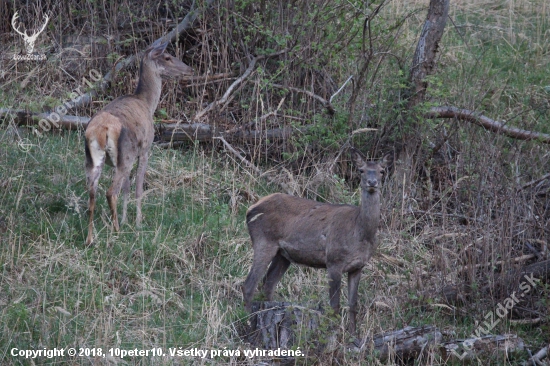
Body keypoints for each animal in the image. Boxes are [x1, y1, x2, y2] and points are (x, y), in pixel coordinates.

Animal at [83, 41, 193, 246]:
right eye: (167, 57)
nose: (190, 69)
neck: (147, 103)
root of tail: (101, 130)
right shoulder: (145, 150)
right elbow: (138, 187)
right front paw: (138, 222)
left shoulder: (126, 158)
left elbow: (127, 188)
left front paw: (126, 219)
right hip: (124, 154)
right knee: (111, 192)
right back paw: (116, 231)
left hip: (94, 158)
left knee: (92, 192)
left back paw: (90, 238)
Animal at [243, 149, 392, 334]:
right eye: (361, 170)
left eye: (382, 171)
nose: (372, 182)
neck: (360, 233)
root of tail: (250, 209)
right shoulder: (334, 260)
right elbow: (334, 305)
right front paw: (335, 333)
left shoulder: (358, 266)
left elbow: (353, 305)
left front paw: (353, 335)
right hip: (264, 241)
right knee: (249, 284)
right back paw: (248, 322)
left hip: (283, 254)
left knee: (267, 284)